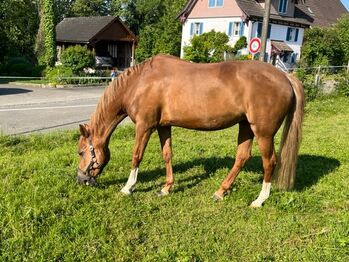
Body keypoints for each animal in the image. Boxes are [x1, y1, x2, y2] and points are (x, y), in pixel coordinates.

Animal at [76, 55, 302, 207]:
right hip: (246, 126)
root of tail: (285, 77)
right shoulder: (163, 126)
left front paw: (127, 187)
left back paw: (259, 199)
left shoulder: (144, 125)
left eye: (80, 152)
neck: (140, 82)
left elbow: (136, 156)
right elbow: (167, 155)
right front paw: (166, 188)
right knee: (242, 157)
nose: (81, 180)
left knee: (269, 161)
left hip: (263, 133)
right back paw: (220, 191)